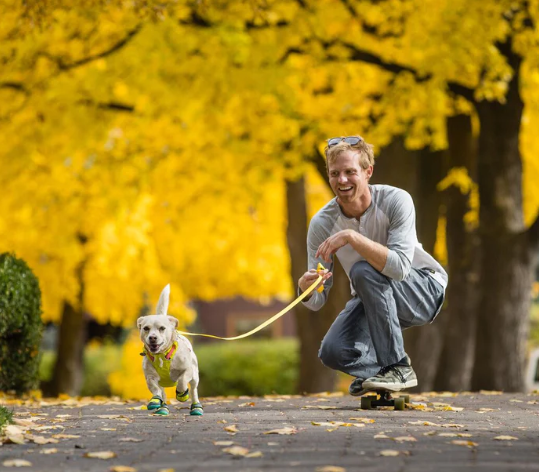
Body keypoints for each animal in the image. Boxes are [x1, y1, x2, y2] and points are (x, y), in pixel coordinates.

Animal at [137, 284, 202, 416]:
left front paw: (182, 394)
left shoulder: (187, 370)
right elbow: (155, 389)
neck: (162, 355)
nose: (152, 337)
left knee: (193, 390)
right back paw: (162, 408)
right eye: (146, 328)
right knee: (163, 394)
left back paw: (196, 407)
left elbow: (182, 381)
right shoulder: (150, 377)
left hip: (195, 376)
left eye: (162, 328)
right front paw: (155, 401)